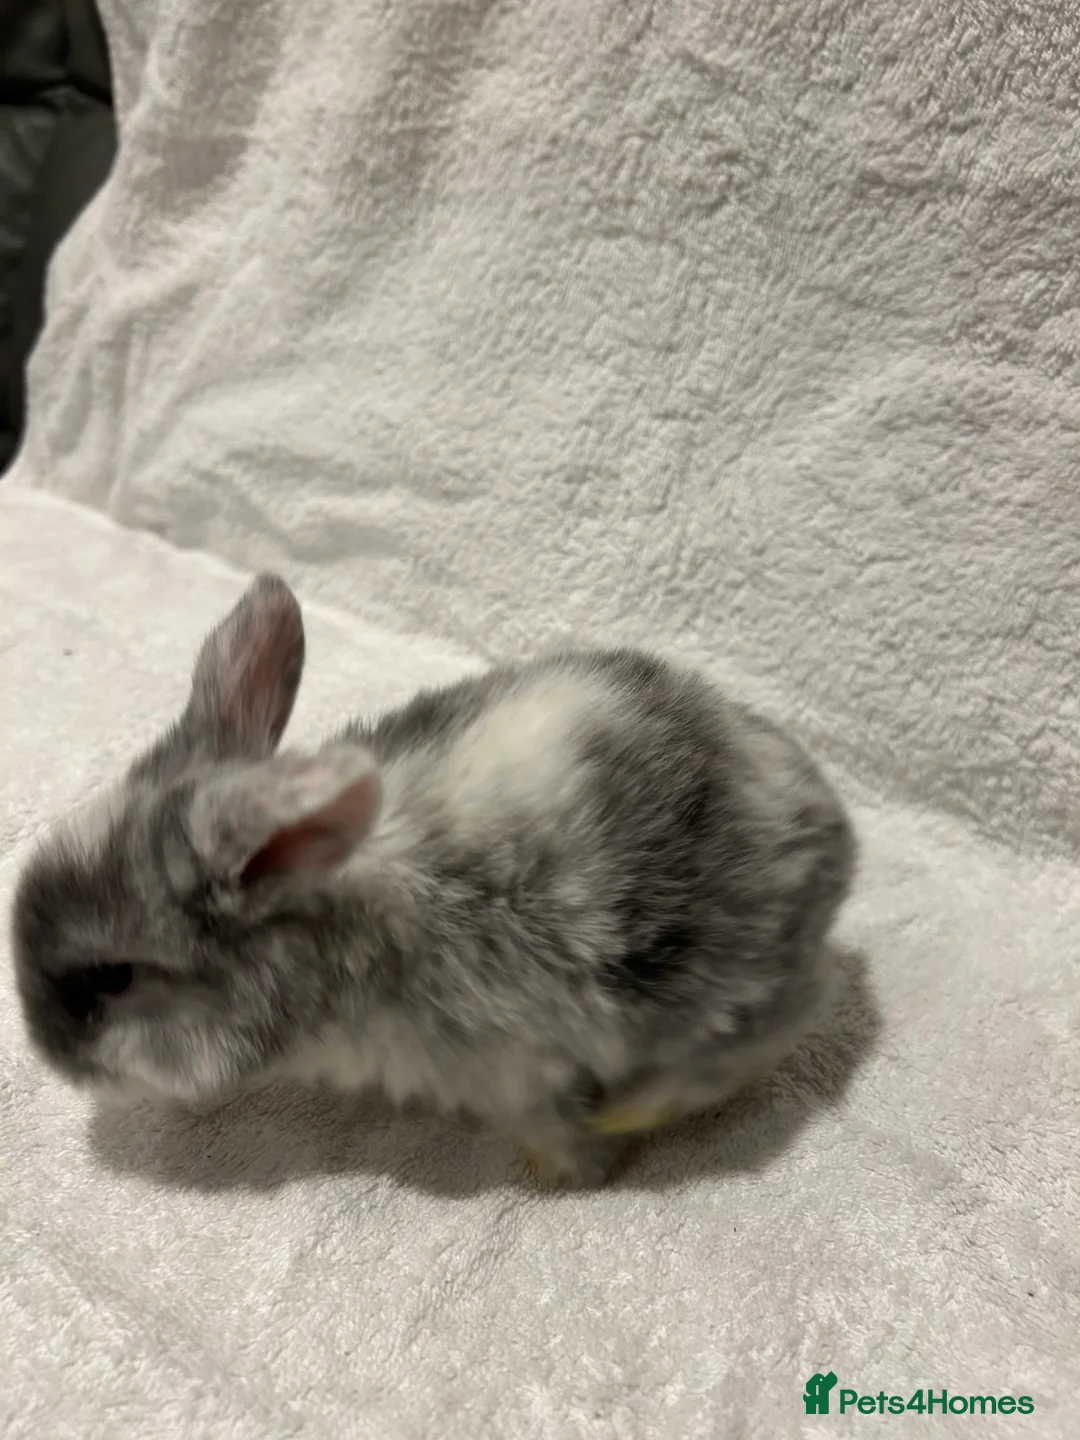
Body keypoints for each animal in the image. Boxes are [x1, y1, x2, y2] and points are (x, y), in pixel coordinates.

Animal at [11, 574, 856, 1187]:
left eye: (113, 977)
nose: (45, 1053)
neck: (338, 931)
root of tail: (831, 832)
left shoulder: (515, 1071)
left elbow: (551, 1128)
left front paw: (567, 1175)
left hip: (714, 993)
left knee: (763, 1036)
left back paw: (631, 1113)